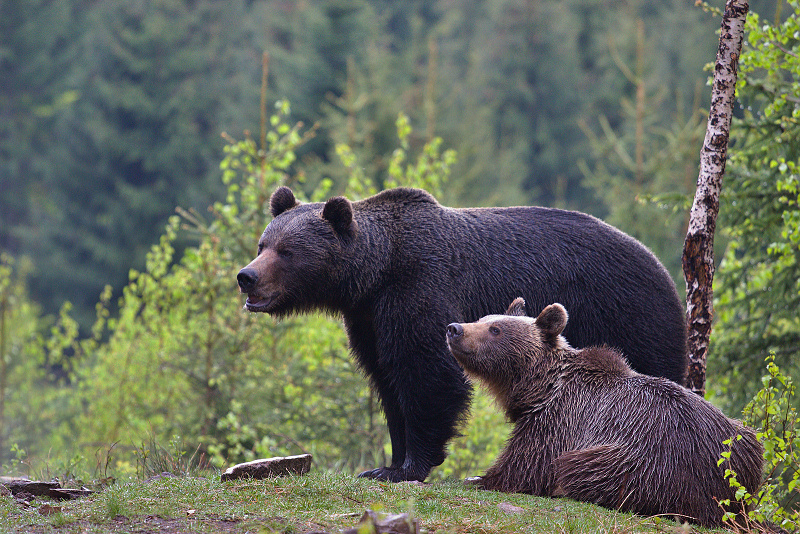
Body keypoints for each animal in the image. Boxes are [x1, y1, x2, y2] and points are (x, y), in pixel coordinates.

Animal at [238, 187, 688, 486]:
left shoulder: (420, 289)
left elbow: (429, 375)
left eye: (287, 251)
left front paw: (411, 466)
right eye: (263, 243)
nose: (246, 277)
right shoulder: (369, 319)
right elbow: (388, 381)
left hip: (629, 317)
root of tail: (666, 270)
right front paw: (386, 464)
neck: (375, 275)